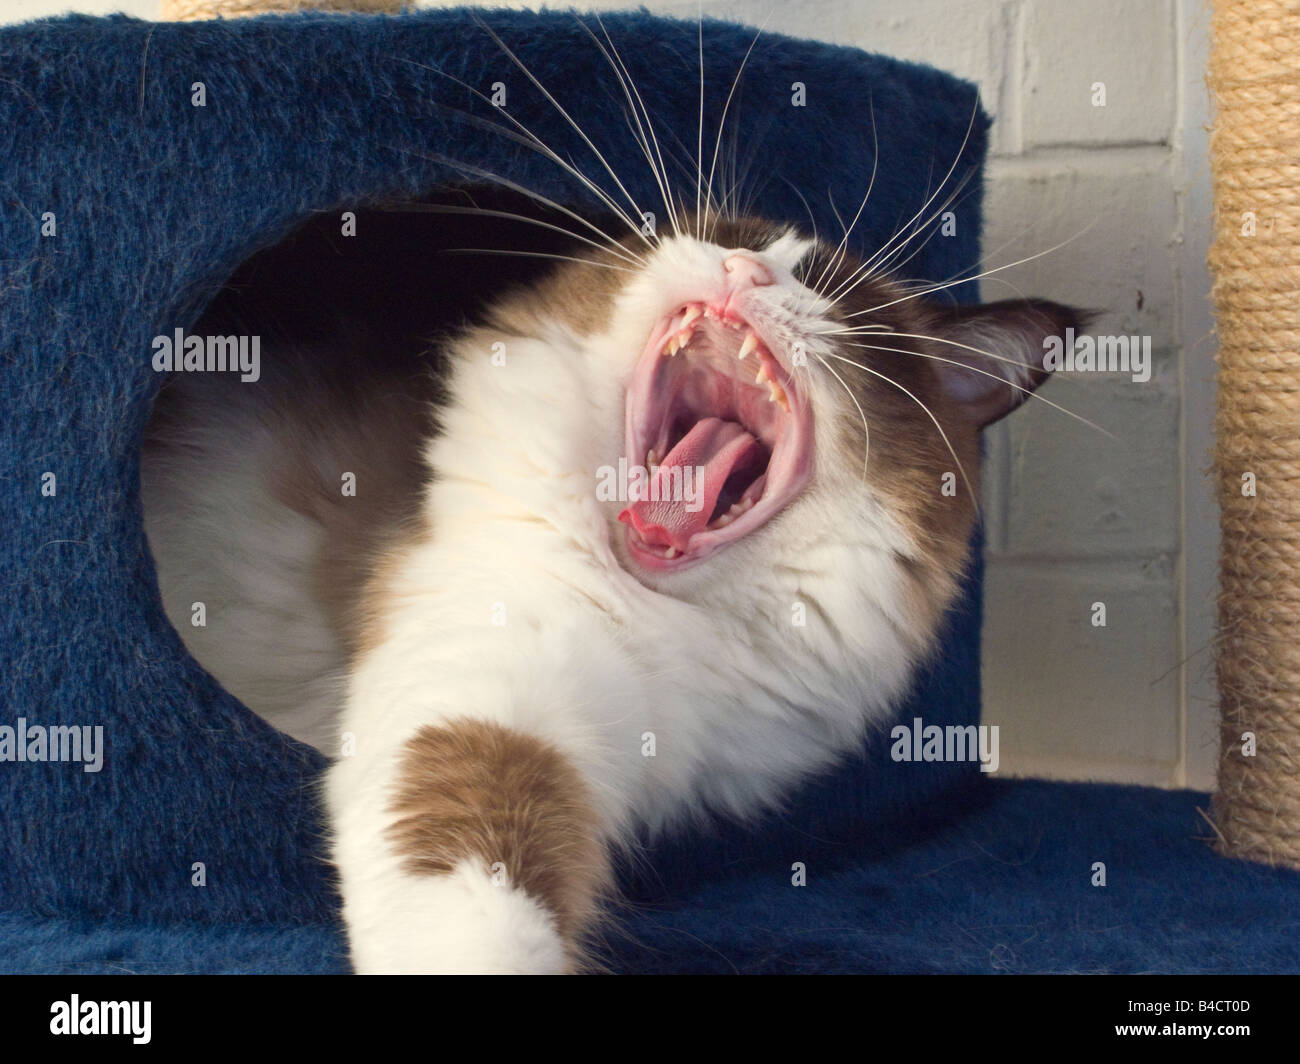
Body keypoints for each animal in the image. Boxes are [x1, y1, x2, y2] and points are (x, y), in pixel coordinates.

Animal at [139, 26, 1086, 967]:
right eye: (721, 236)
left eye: (839, 300)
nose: (746, 272)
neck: (667, 615)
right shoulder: (477, 692)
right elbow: (473, 914)